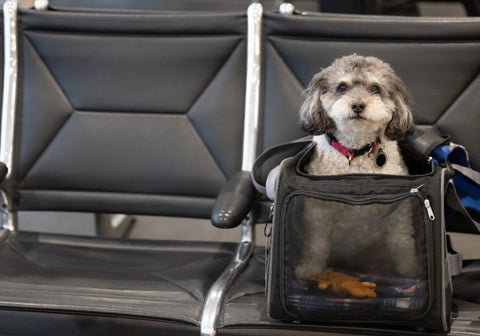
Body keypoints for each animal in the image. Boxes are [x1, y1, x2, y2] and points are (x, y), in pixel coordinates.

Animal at [294, 54, 422, 280]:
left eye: (375, 88)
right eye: (342, 87)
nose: (358, 105)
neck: (355, 152)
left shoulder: (399, 211)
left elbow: (402, 241)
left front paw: (410, 269)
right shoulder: (318, 211)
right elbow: (315, 244)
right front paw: (309, 269)